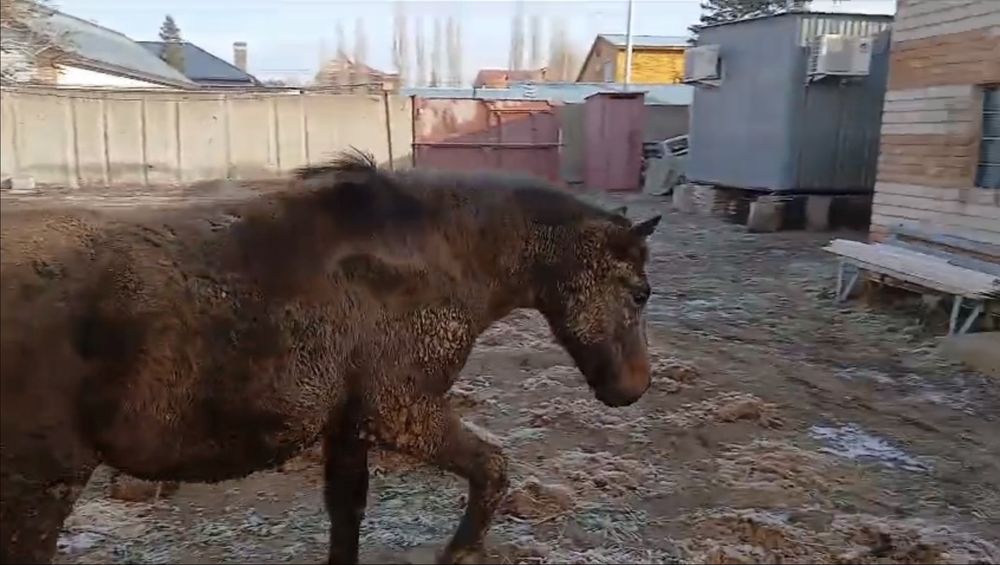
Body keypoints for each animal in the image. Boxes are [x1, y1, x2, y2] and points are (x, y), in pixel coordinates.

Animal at [0, 150, 661, 564]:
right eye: (639, 293)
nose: (633, 388)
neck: (446, 255)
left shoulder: (349, 425)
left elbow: (348, 516)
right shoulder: (402, 411)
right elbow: (493, 467)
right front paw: (461, 552)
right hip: (42, 483)